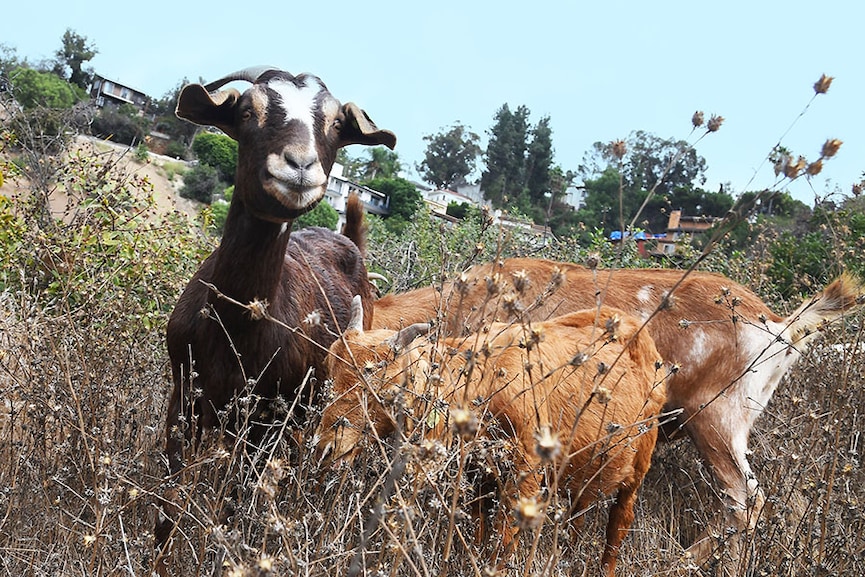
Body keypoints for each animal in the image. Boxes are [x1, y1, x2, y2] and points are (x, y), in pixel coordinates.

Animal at [156, 68, 394, 568]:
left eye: (335, 125)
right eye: (248, 111)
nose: (300, 165)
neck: (234, 329)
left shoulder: (265, 425)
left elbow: (234, 506)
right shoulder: (184, 397)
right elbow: (168, 502)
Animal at [318, 294, 668, 572]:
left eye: (379, 386)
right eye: (329, 367)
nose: (327, 446)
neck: (484, 380)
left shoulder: (525, 475)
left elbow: (502, 540)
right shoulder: (478, 477)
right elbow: (478, 531)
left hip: (639, 465)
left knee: (619, 523)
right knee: (577, 516)